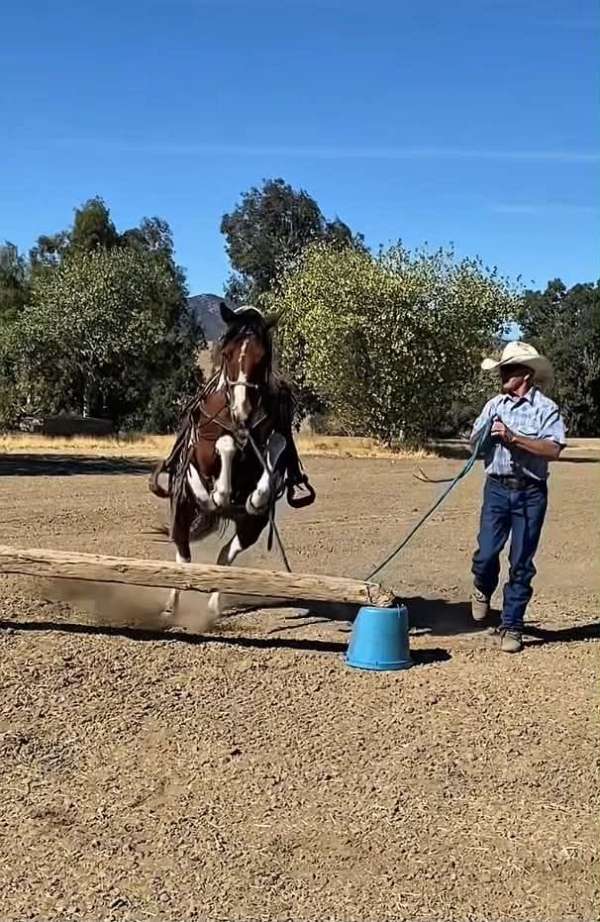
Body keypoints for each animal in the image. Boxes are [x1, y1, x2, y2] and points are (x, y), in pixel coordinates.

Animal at [149, 302, 314, 619]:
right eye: (226, 354)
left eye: (263, 357)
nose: (242, 410)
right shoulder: (205, 450)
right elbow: (225, 445)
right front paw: (218, 493)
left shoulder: (272, 446)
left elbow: (275, 449)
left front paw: (256, 497)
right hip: (182, 510)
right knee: (183, 555)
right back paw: (171, 605)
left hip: (252, 528)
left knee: (226, 555)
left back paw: (214, 606)